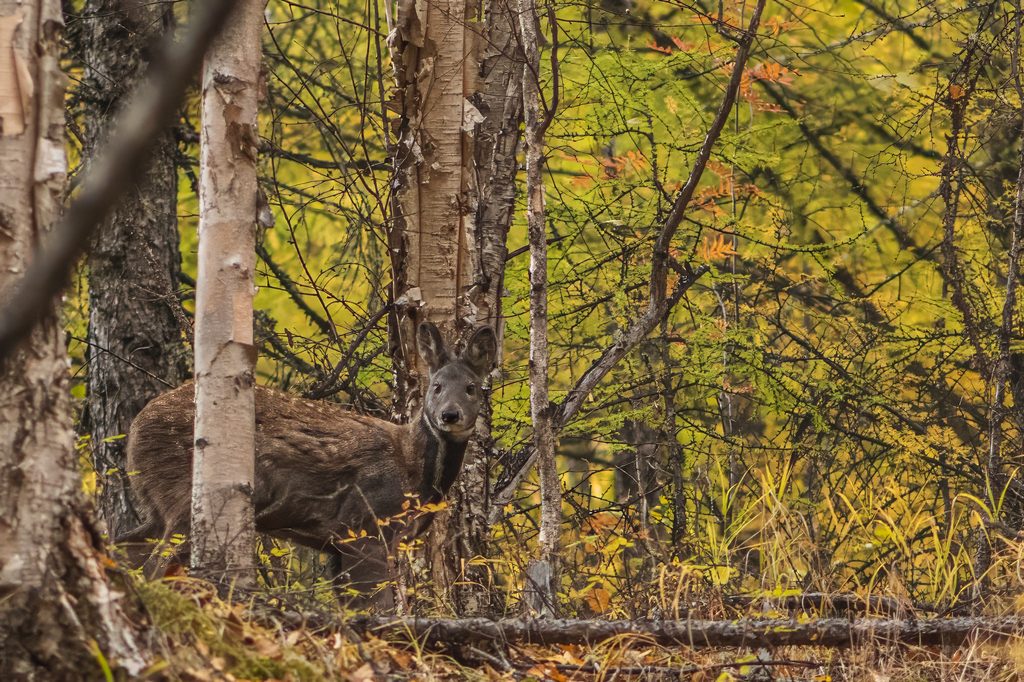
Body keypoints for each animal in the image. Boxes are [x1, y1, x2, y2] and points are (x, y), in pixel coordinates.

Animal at [116, 322, 497, 608]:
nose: (450, 415)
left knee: (127, 547)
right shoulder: (365, 525)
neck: (414, 469)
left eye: (471, 387)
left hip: (158, 507)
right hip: (184, 497)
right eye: (436, 386)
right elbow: (376, 606)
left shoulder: (341, 542)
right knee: (154, 565)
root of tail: (136, 428)